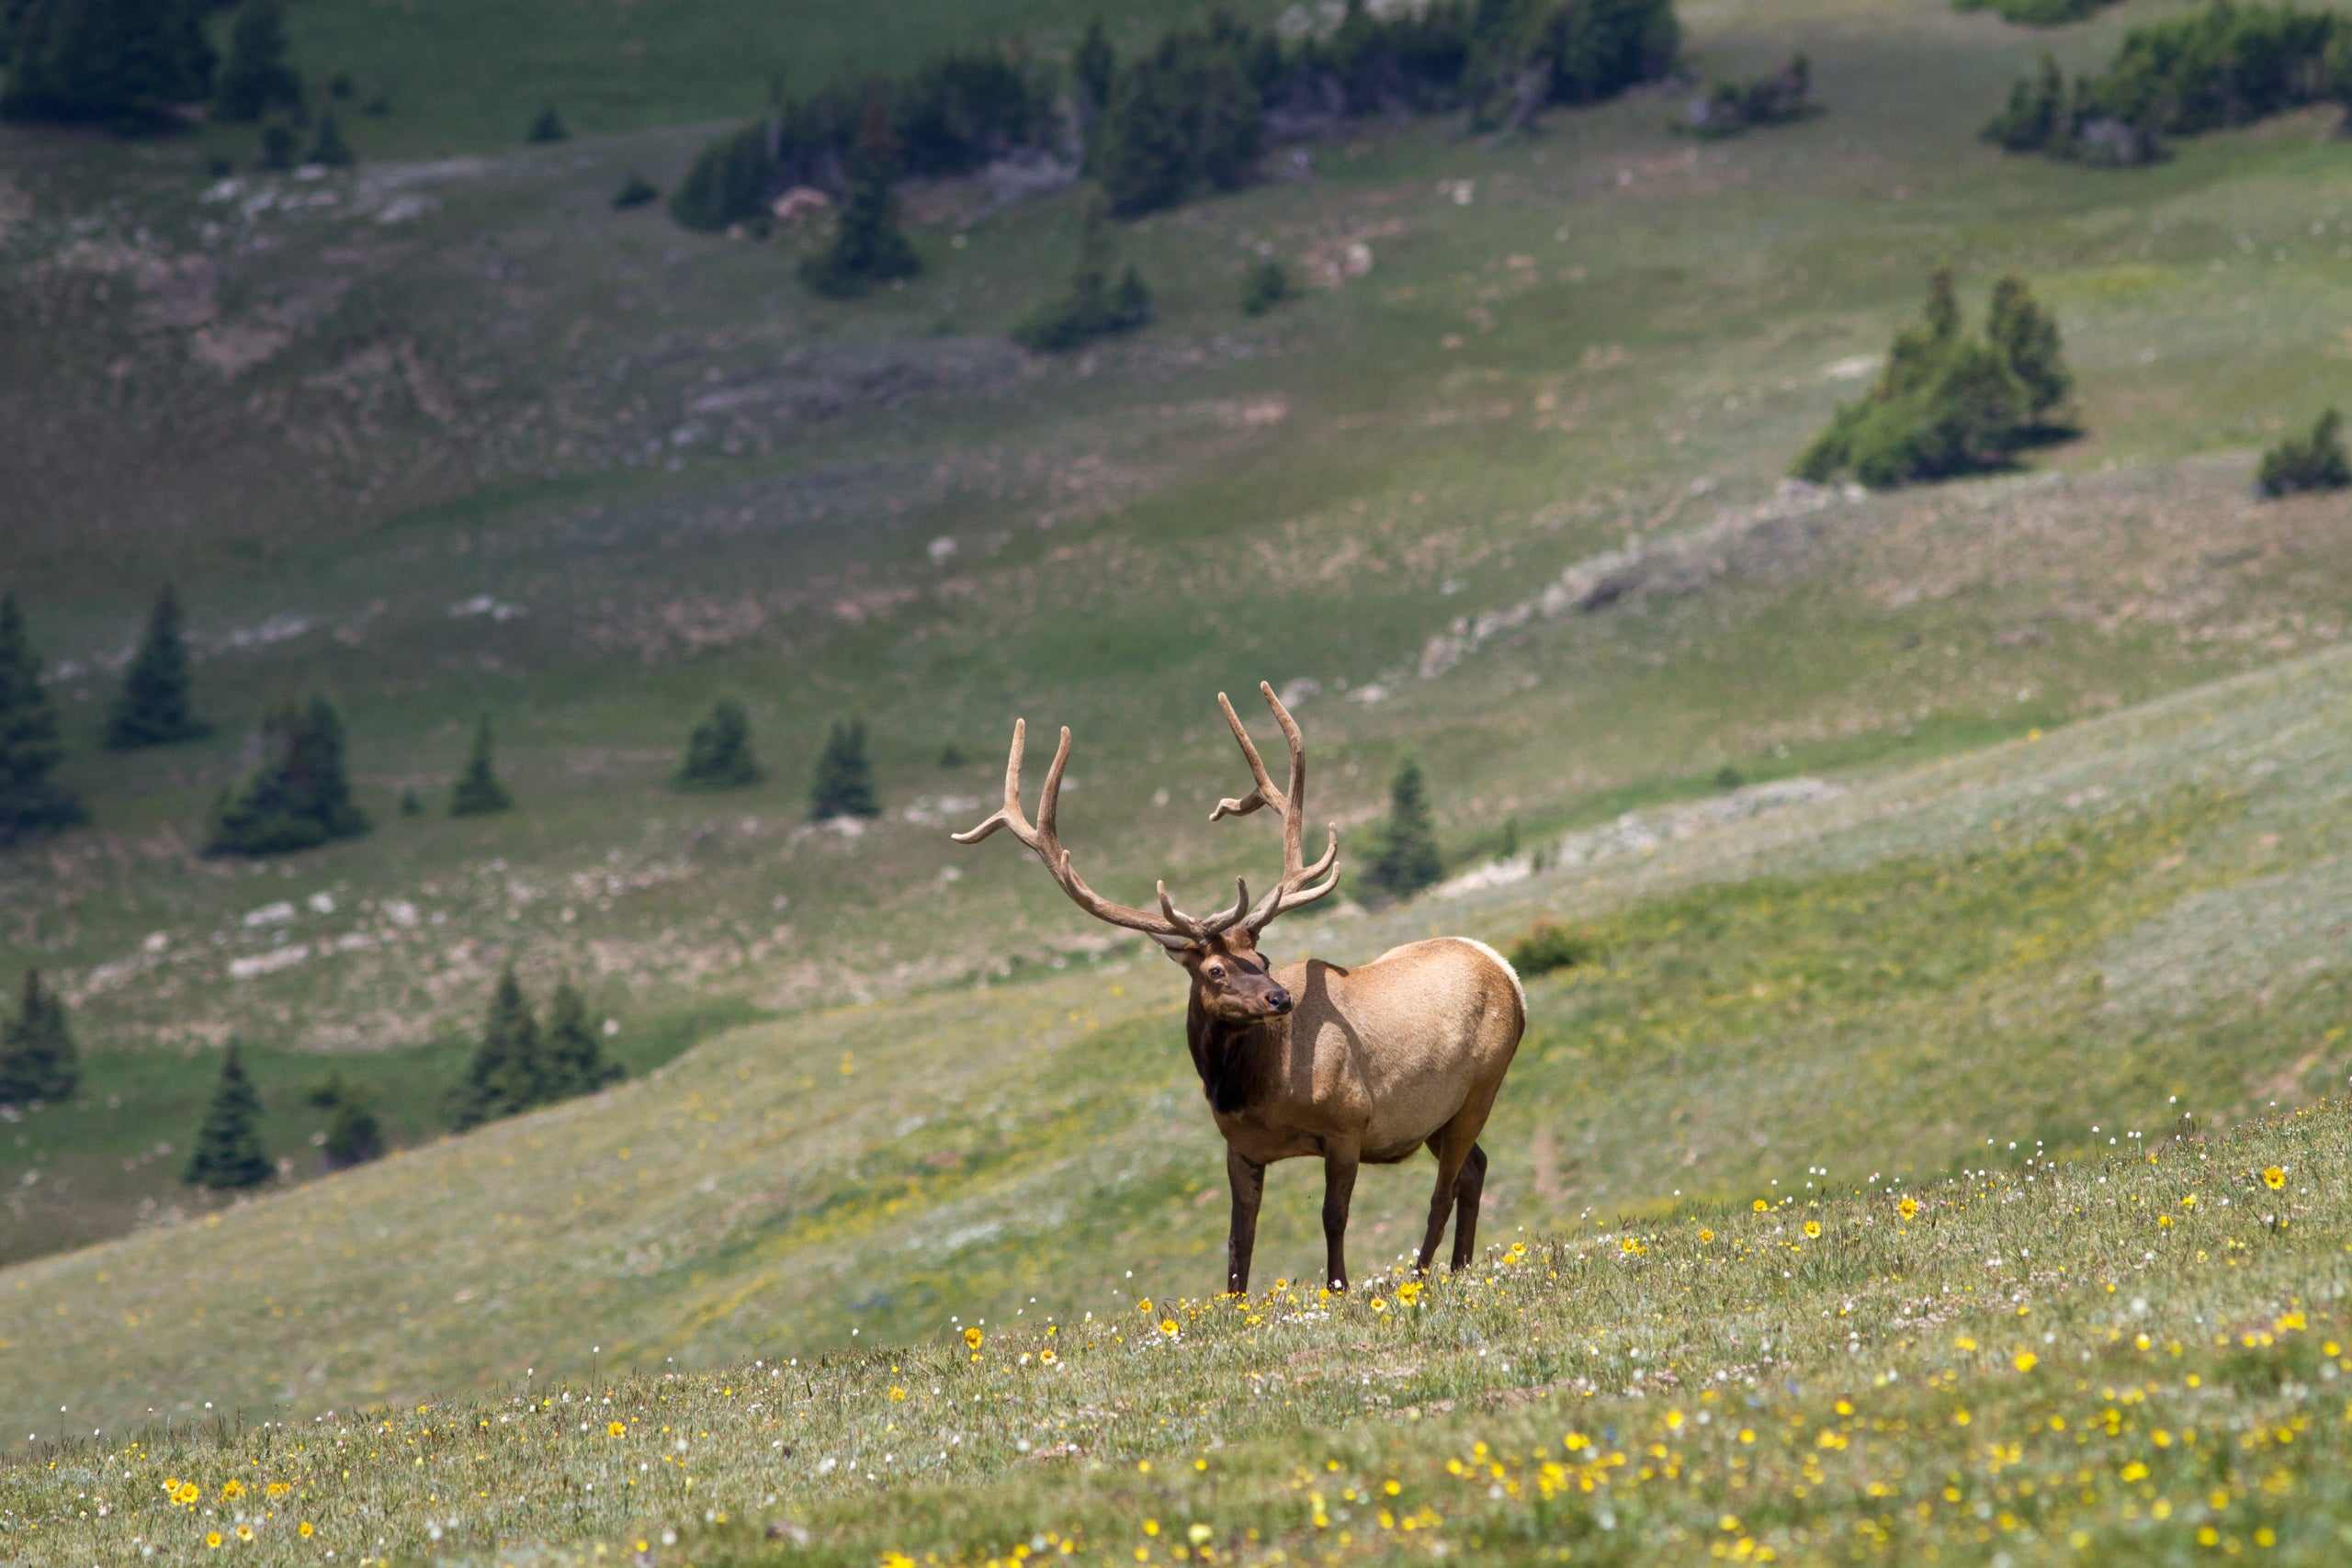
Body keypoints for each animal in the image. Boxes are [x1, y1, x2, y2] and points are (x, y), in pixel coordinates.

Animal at [953, 683, 1524, 1296]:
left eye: (1263, 957)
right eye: (1215, 972)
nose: (1280, 998)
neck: (1257, 1090)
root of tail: (1509, 973)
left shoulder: (1349, 1123)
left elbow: (1333, 1217)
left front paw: (1339, 1288)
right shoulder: (1239, 1148)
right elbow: (1239, 1239)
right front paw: (1235, 1302)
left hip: (1480, 1086)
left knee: (1445, 1188)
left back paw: (1421, 1275)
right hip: (1438, 1115)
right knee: (1475, 1168)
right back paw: (1460, 1266)